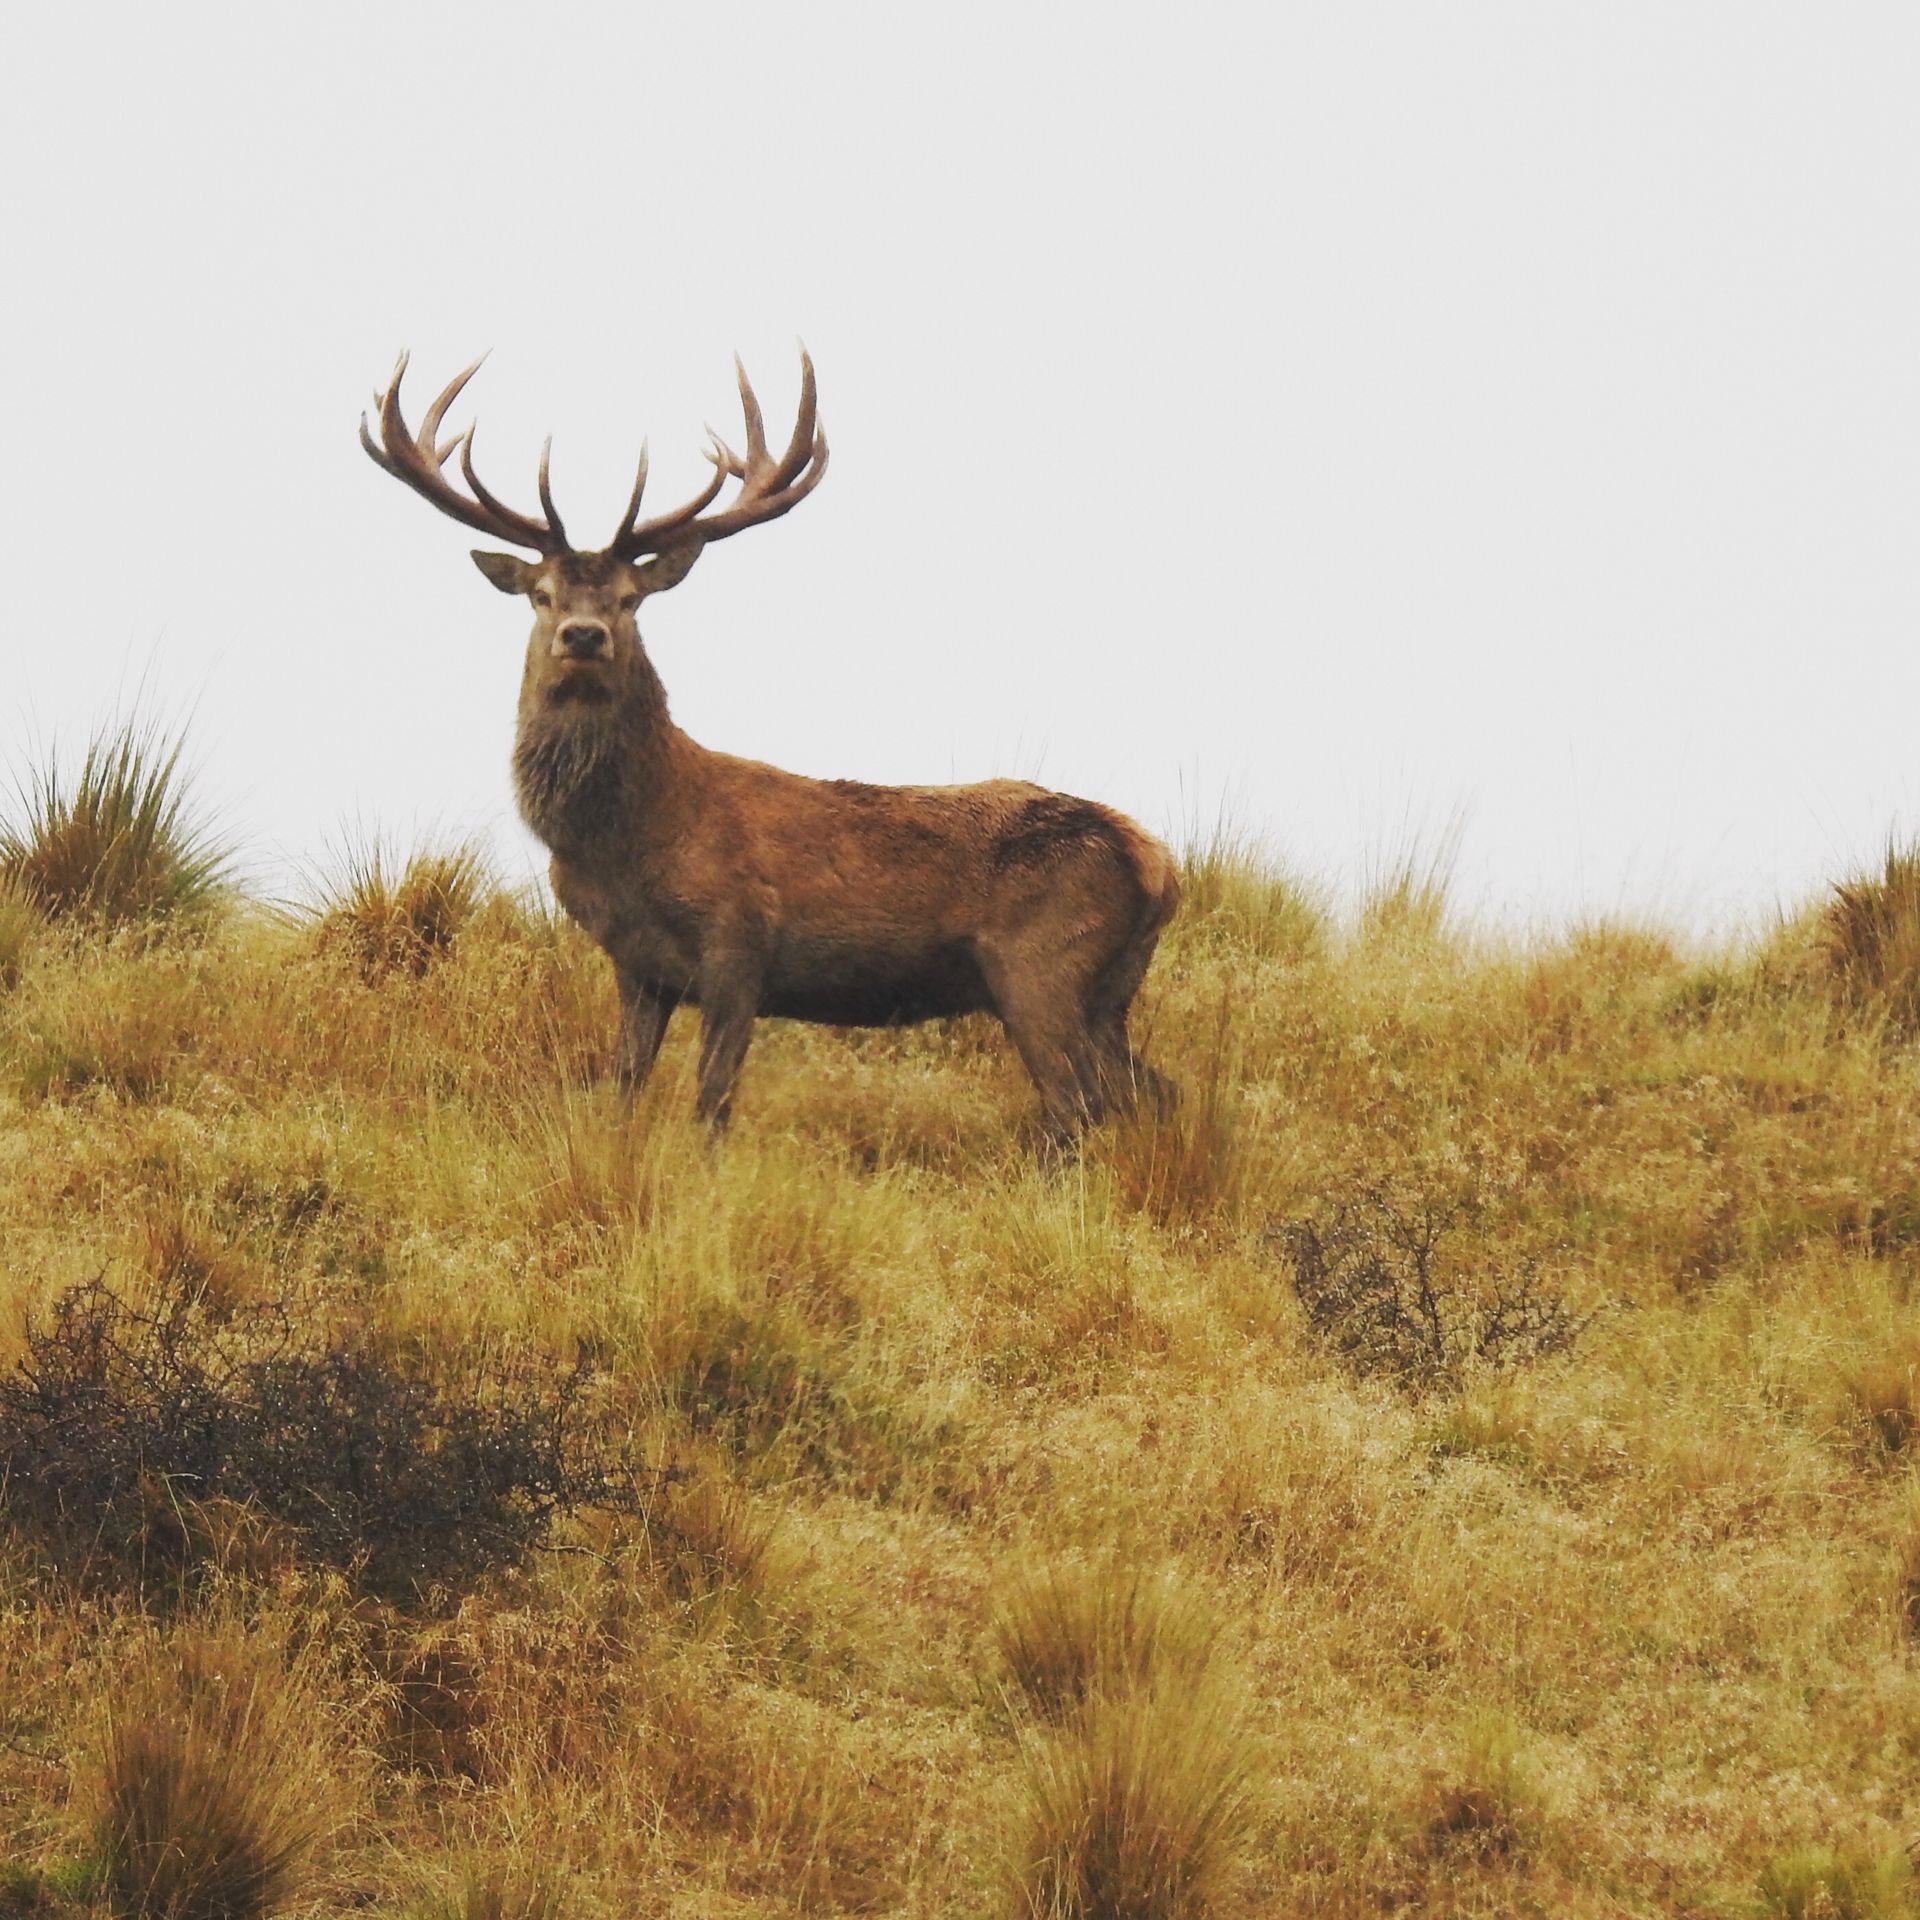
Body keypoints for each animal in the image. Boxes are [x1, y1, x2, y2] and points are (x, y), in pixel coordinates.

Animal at [359, 349, 1179, 1141]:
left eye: (630, 599)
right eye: (542, 595)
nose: (583, 636)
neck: (628, 839)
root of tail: (1157, 863)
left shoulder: (739, 943)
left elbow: (711, 1100)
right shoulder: (637, 967)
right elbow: (622, 1091)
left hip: (1041, 965)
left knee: (1078, 1106)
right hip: (1106, 992)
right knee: (1155, 1094)